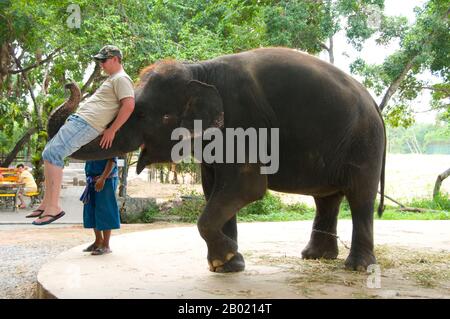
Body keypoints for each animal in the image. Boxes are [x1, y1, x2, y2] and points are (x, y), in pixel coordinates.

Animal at [49, 47, 386, 272]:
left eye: (142, 114)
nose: (67, 82)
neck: (198, 70)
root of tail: (373, 102)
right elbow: (213, 189)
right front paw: (228, 265)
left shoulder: (245, 124)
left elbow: (246, 187)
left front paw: (225, 259)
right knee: (326, 199)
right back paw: (315, 257)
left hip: (365, 145)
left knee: (360, 197)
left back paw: (357, 268)